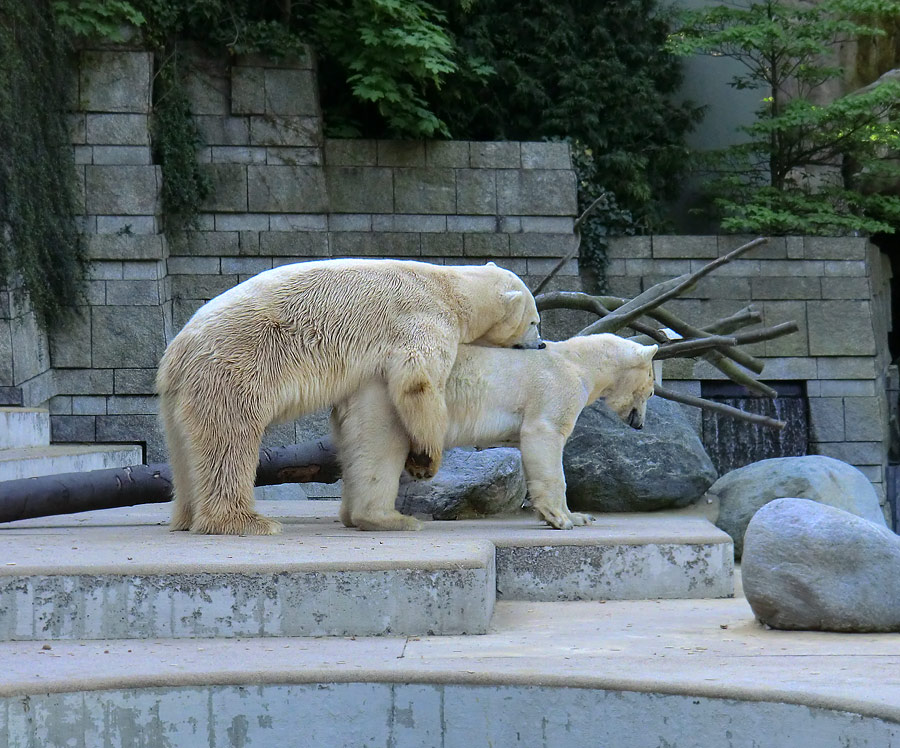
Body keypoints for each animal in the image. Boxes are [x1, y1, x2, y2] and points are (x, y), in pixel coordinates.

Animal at [155, 260, 540, 536]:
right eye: (535, 321)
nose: (540, 345)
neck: (452, 286)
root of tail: (177, 352)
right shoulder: (426, 319)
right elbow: (416, 381)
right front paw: (426, 460)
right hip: (235, 368)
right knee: (230, 440)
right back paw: (247, 522)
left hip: (180, 396)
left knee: (185, 448)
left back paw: (187, 516)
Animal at [330, 334, 652, 532]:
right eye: (650, 390)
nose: (640, 424)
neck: (578, 360)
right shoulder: (554, 387)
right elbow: (544, 434)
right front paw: (561, 519)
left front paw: (579, 516)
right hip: (388, 398)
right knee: (381, 449)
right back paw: (390, 519)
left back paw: (351, 516)